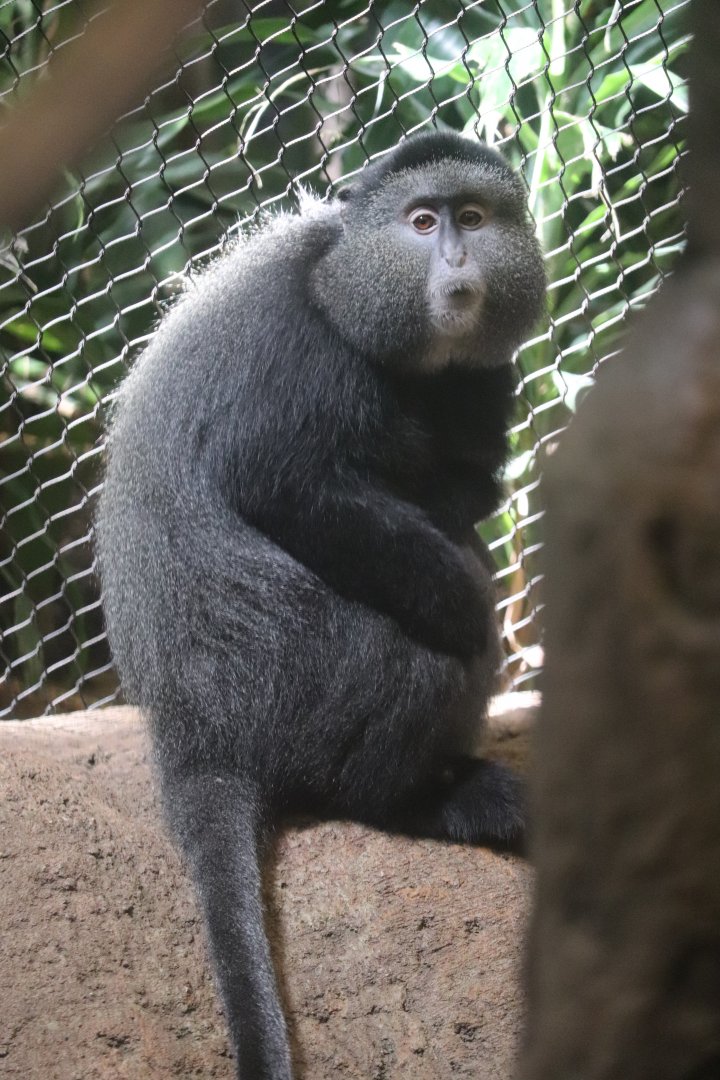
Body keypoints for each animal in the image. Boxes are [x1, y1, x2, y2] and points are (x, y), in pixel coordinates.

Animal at [95, 130, 546, 1079]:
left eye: (474, 217)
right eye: (422, 223)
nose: (457, 261)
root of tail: (193, 736)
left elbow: (464, 483)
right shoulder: (295, 349)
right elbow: (283, 486)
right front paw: (464, 606)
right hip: (304, 682)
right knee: (418, 667)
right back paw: (427, 798)